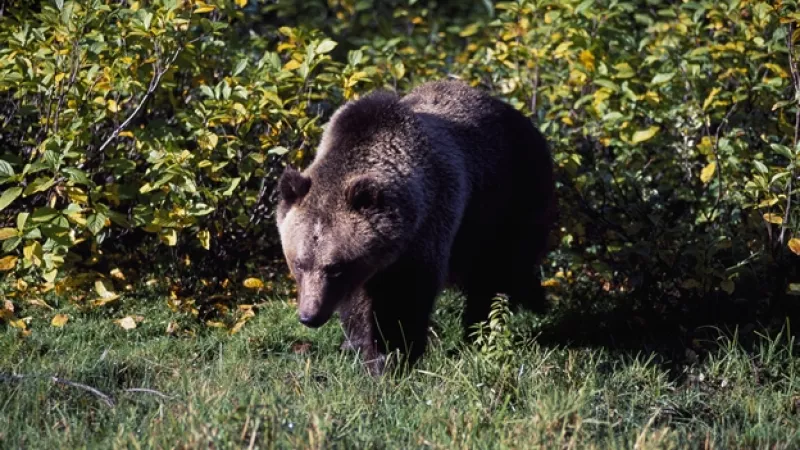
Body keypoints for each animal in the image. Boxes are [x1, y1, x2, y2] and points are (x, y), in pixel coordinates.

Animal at [275, 79, 556, 375]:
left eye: (336, 267)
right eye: (299, 263)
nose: (310, 316)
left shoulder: (429, 227)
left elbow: (404, 297)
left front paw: (393, 355)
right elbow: (359, 305)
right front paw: (361, 347)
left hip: (508, 201)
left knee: (497, 273)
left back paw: (482, 331)